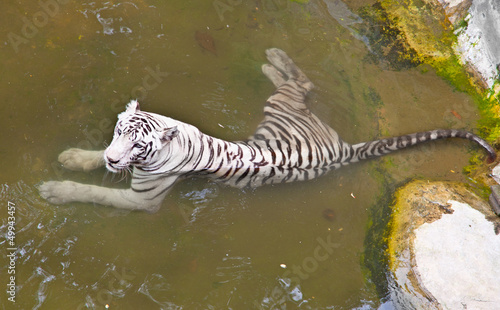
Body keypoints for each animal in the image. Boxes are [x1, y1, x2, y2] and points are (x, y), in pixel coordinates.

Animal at [40, 48, 496, 213]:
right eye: (119, 131)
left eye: (139, 145)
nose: (116, 157)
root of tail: (345, 148)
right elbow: (91, 160)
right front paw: (73, 157)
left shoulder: (142, 200)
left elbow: (95, 192)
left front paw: (56, 190)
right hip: (284, 107)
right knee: (300, 84)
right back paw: (269, 60)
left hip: (279, 104)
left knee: (300, 82)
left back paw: (269, 57)